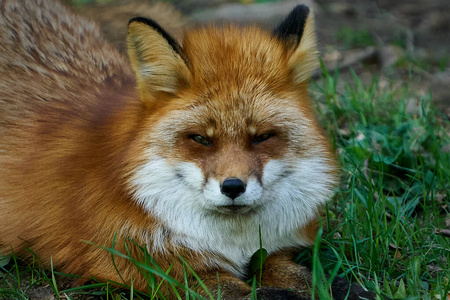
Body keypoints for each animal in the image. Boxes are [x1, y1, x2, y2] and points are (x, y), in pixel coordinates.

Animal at [0, 0, 374, 298]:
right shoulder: (137, 262)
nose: (233, 187)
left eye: (262, 137)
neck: (234, 243)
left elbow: (303, 276)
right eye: (200, 139)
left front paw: (340, 287)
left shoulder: (273, 251)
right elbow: (244, 293)